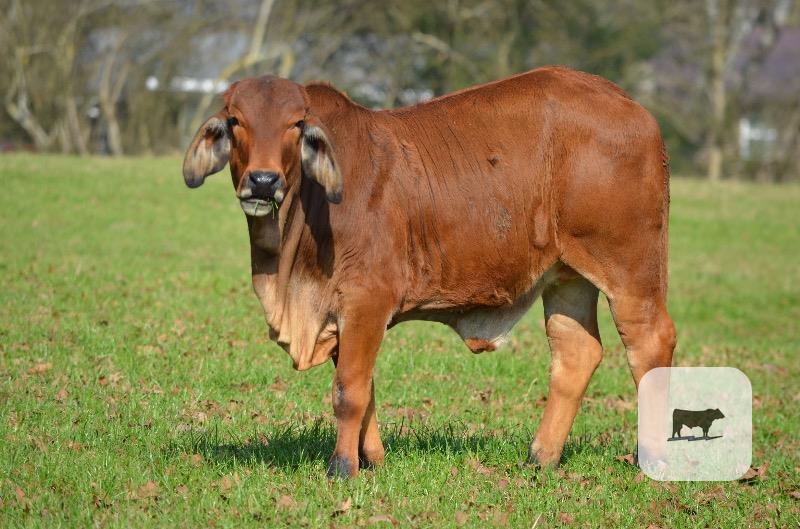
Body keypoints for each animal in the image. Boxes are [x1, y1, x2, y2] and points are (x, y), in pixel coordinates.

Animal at [182, 66, 677, 478]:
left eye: (296, 124)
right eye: (235, 120)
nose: (263, 181)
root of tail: (633, 108)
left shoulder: (365, 300)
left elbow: (349, 391)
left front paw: (342, 467)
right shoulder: (344, 315)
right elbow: (366, 389)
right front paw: (373, 459)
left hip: (630, 271)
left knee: (650, 343)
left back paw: (652, 460)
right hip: (567, 277)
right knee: (576, 353)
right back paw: (540, 459)